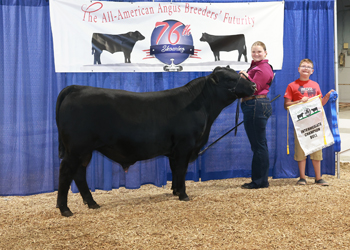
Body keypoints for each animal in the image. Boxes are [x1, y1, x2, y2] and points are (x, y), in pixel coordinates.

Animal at [56, 65, 256, 216]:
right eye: (230, 79)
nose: (254, 85)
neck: (203, 107)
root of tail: (76, 88)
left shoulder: (174, 150)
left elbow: (175, 170)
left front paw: (176, 191)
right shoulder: (185, 145)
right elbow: (181, 170)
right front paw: (184, 195)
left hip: (84, 151)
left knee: (79, 174)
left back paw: (92, 203)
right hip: (76, 148)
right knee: (66, 172)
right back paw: (65, 209)